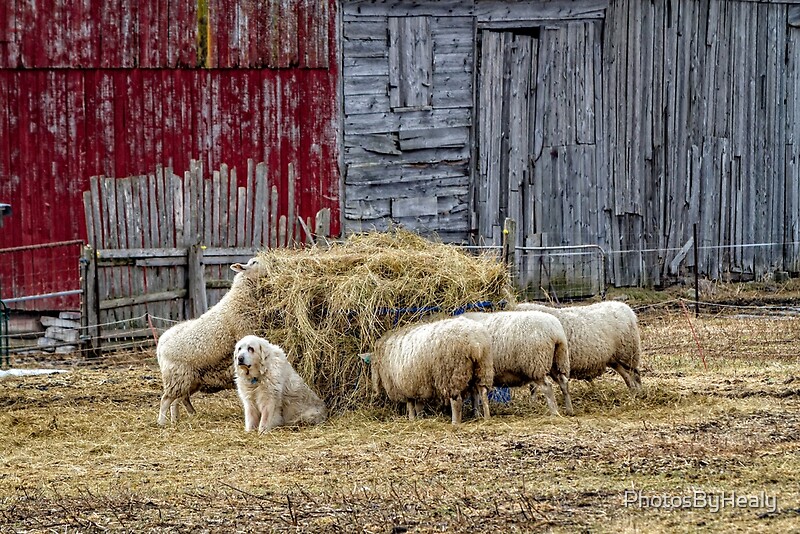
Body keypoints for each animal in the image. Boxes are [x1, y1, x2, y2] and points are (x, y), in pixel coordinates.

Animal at [157, 258, 266, 428]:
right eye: (254, 262)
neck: (239, 299)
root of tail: (161, 343)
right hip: (177, 377)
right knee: (166, 399)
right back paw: (162, 422)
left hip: (188, 379)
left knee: (179, 399)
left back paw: (179, 418)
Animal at [512, 302, 644, 394]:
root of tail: (628, 309)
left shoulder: (534, 362)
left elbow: (533, 388)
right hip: (615, 358)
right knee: (627, 376)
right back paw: (633, 393)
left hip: (628, 353)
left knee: (635, 374)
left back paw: (639, 393)